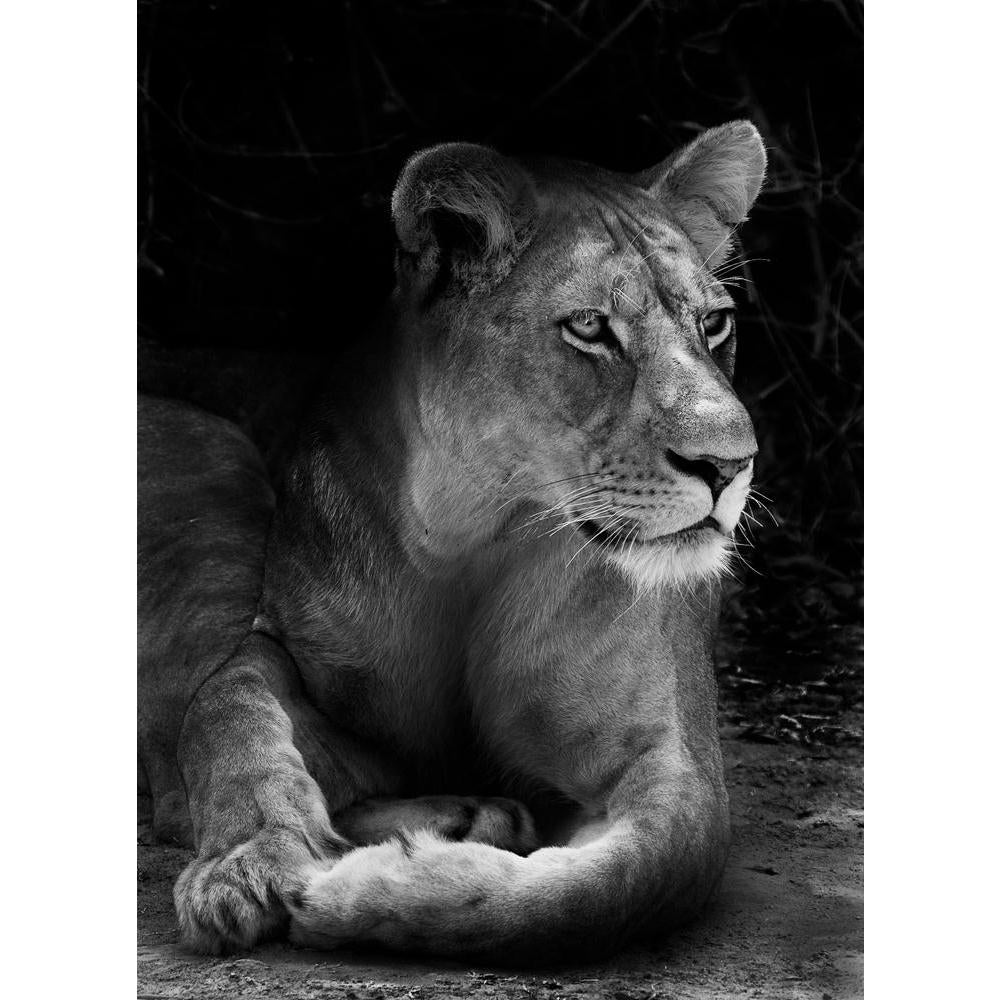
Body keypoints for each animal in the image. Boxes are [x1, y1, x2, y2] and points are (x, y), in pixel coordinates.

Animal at [138, 120, 767, 962]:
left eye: (714, 323)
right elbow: (227, 710)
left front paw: (358, 892)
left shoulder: (677, 766)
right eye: (590, 327)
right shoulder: (279, 650)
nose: (730, 465)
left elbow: (604, 891)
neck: (482, 538)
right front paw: (252, 859)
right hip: (211, 467)